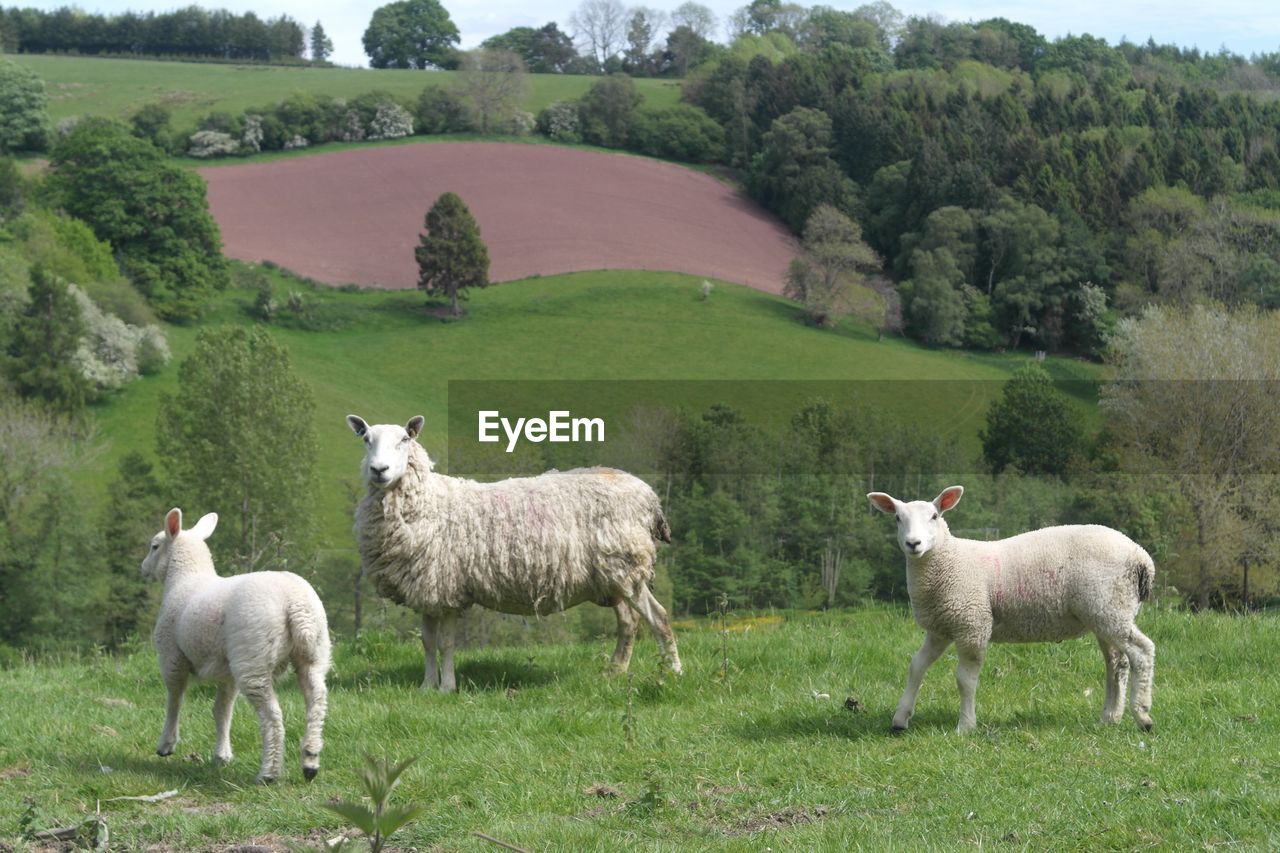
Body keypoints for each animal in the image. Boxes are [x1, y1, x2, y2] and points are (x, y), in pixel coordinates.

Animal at [141, 507, 330, 778]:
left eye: (154, 546)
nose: (143, 568)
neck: (186, 578)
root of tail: (295, 604)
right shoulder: (226, 671)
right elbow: (222, 710)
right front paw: (222, 754)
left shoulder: (172, 657)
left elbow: (174, 700)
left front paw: (166, 744)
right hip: (313, 651)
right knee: (316, 699)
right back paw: (310, 761)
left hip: (253, 656)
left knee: (272, 715)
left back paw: (269, 772)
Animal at [345, 412, 686, 691]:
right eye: (366, 439)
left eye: (404, 439)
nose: (379, 470)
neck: (428, 501)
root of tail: (649, 496)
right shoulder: (428, 589)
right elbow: (428, 643)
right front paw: (427, 688)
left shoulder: (447, 586)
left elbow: (446, 643)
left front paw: (447, 688)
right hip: (613, 575)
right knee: (629, 621)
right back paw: (615, 672)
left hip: (626, 564)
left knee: (659, 617)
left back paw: (673, 672)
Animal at [865, 484, 1157, 732]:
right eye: (897, 518)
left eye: (935, 516)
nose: (913, 544)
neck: (949, 561)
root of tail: (1141, 556)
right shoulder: (941, 628)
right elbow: (916, 666)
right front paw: (900, 719)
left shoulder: (972, 624)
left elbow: (965, 679)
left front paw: (965, 726)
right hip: (1107, 612)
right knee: (1117, 663)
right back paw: (1109, 717)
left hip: (1109, 606)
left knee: (1142, 651)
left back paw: (1142, 715)